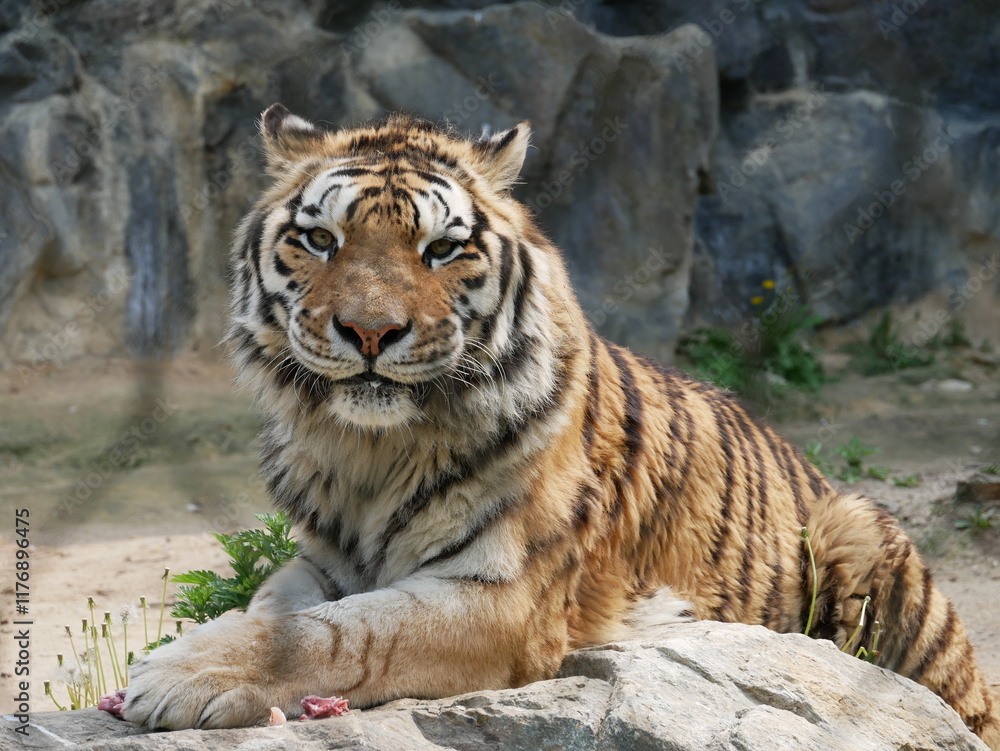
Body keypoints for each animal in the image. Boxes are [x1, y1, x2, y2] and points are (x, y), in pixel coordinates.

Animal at [124, 104, 999, 746]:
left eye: (442, 249)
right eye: (319, 238)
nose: (371, 333)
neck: (371, 447)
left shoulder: (504, 597)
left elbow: (338, 634)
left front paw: (173, 674)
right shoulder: (323, 559)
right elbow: (276, 612)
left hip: (860, 532)